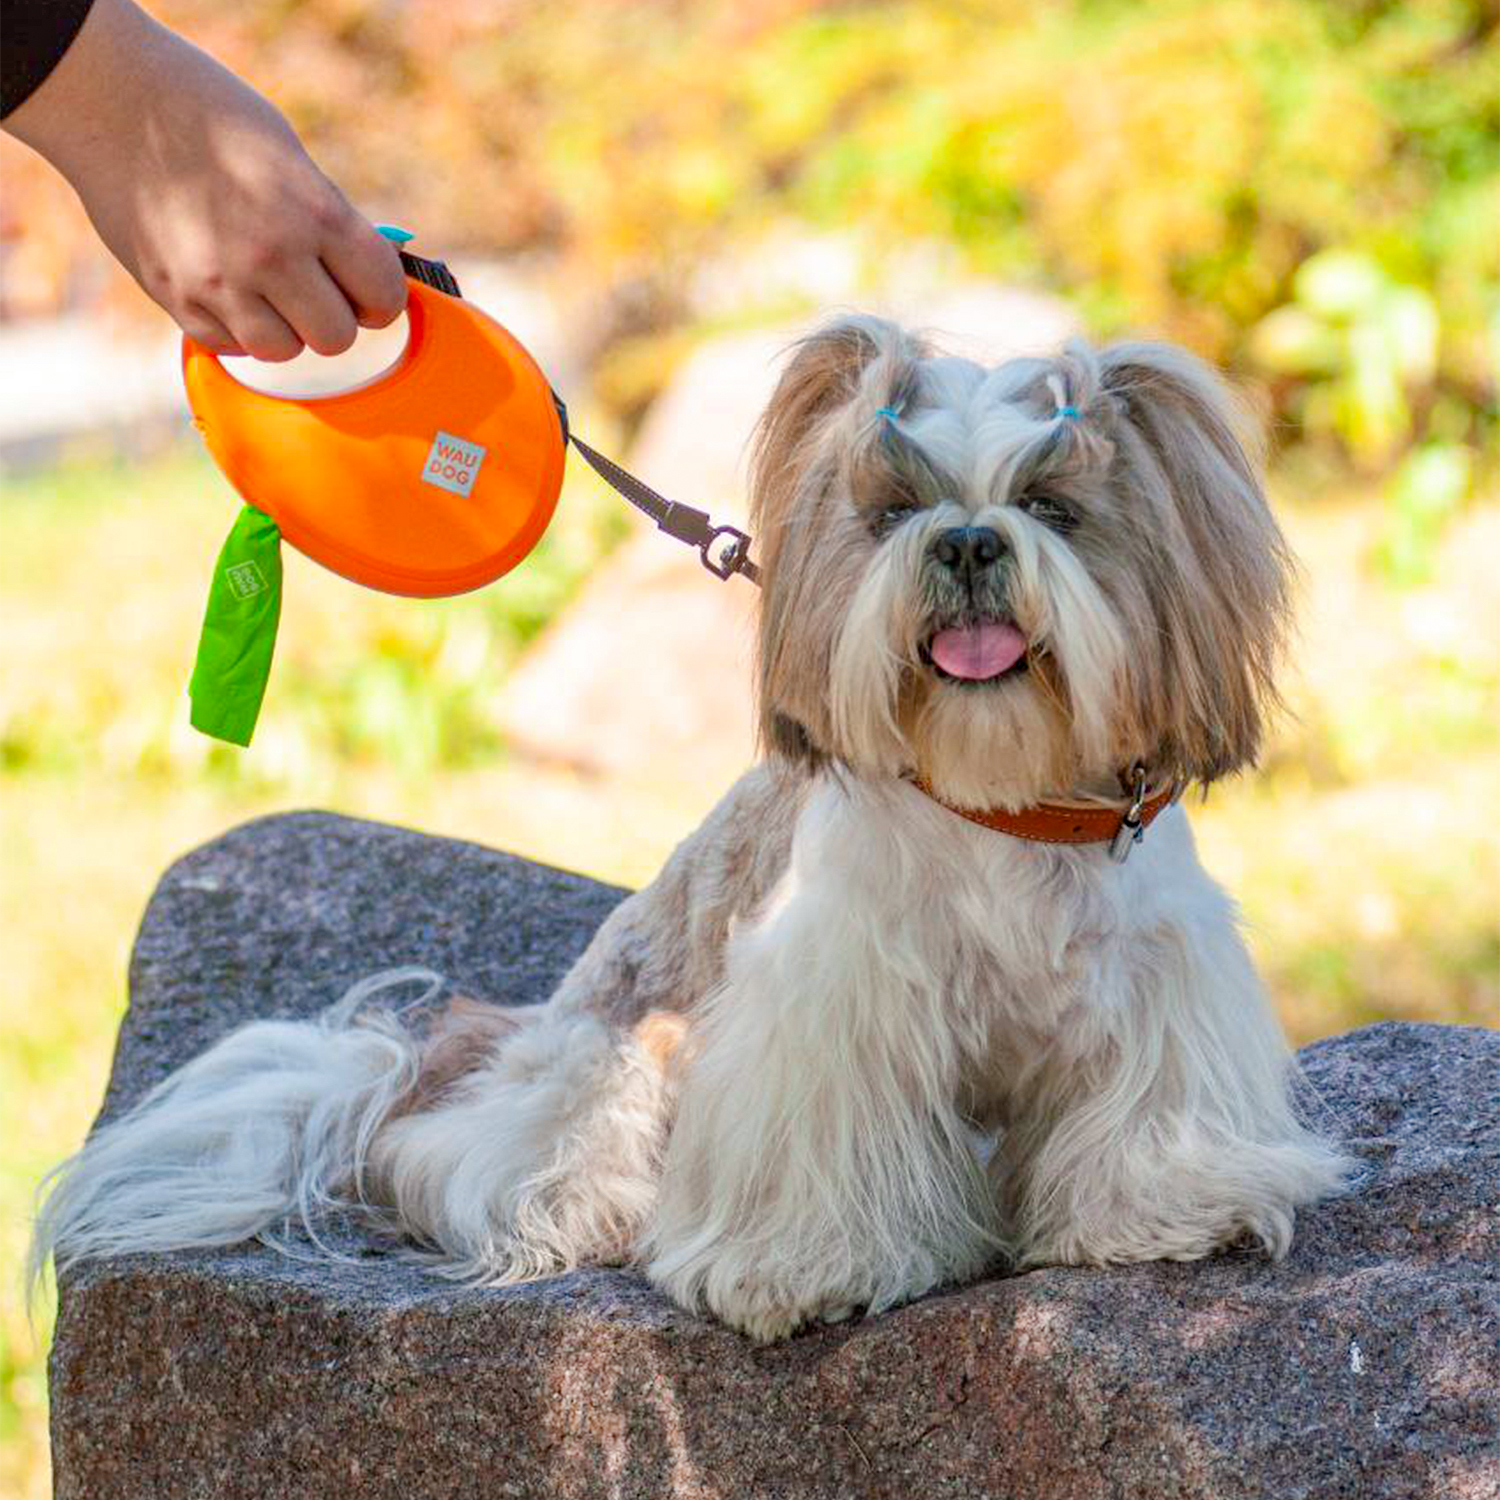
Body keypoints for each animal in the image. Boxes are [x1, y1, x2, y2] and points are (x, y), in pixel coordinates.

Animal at [32, 313, 1350, 1338]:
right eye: (894, 511)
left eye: (1050, 506)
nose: (970, 540)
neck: (998, 806)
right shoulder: (827, 1009)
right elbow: (819, 1143)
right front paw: (802, 1273)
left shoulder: (1160, 979)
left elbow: (1146, 1113)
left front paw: (1171, 1208)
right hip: (609, 1076)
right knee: (488, 1168)